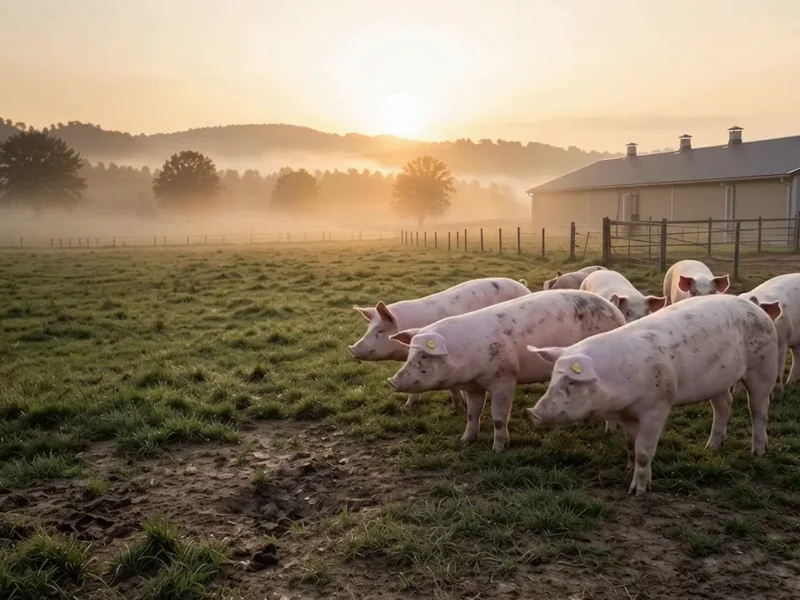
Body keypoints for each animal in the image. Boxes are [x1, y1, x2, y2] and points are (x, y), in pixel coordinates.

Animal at [350, 277, 531, 409]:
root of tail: (523, 285)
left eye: (380, 330)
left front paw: (460, 406)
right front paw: (407, 407)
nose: (352, 349)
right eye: (369, 328)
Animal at [386, 290, 626, 452]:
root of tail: (615, 311)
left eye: (425, 356)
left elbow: (499, 417)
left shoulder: (505, 379)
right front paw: (464, 441)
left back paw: (609, 432)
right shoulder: (473, 387)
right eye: (410, 354)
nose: (392, 382)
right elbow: (472, 413)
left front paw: (497, 450)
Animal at [527, 294, 781, 496]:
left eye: (571, 381)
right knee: (724, 405)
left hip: (763, 368)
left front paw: (637, 491)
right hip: (717, 380)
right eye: (553, 379)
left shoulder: (657, 407)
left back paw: (757, 453)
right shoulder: (628, 414)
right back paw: (711, 447)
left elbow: (643, 451)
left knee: (759, 411)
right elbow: (630, 444)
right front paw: (628, 469)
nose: (534, 412)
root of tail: (756, 308)